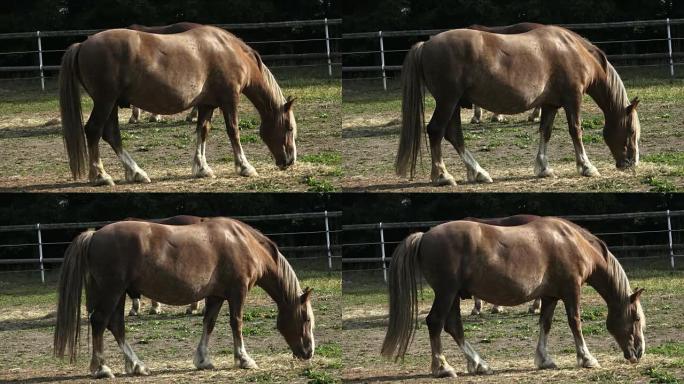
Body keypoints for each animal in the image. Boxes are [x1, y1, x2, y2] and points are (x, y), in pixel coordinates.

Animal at [53, 216, 316, 378]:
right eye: (306, 320)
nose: (308, 353)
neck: (244, 242)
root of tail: (94, 235)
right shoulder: (237, 292)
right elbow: (236, 323)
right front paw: (244, 359)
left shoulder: (216, 296)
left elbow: (208, 323)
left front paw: (203, 360)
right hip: (112, 291)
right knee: (100, 323)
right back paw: (102, 368)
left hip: (118, 295)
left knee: (115, 326)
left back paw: (137, 365)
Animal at [57, 24, 296, 186]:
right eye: (289, 128)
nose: (290, 161)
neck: (228, 50)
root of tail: (83, 44)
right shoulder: (229, 100)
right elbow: (233, 131)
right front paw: (245, 167)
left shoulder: (207, 104)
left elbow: (202, 131)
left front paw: (202, 168)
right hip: (105, 101)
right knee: (94, 131)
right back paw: (101, 176)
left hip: (112, 104)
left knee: (111, 134)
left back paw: (136, 173)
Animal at [382, 216, 644, 378]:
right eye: (636, 319)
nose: (638, 353)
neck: (572, 242)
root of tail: (424, 236)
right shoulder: (572, 291)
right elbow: (575, 323)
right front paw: (587, 358)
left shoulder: (550, 296)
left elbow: (545, 324)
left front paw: (545, 360)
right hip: (446, 293)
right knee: (435, 323)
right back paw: (443, 368)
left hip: (453, 295)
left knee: (453, 326)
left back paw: (479, 364)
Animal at [396, 24, 640, 186]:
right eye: (631, 131)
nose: (631, 163)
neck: (573, 50)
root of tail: (426, 44)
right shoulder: (573, 99)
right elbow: (576, 131)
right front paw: (587, 167)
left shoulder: (551, 104)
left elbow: (545, 132)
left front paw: (544, 168)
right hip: (448, 101)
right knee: (436, 131)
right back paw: (442, 176)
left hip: (454, 104)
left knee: (454, 134)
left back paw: (478, 172)